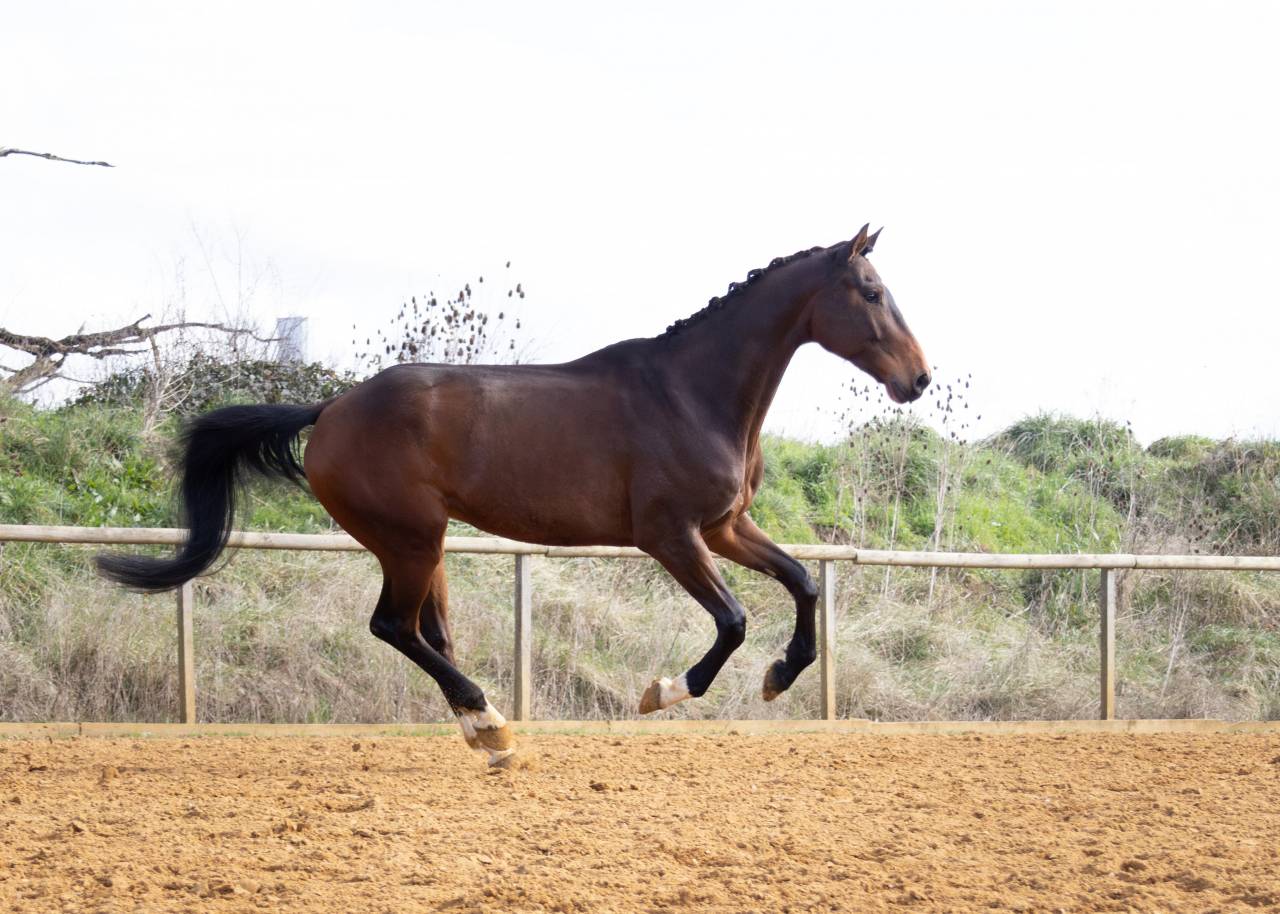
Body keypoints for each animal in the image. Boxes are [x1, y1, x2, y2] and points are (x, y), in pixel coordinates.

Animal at [97, 224, 930, 767]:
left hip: (422, 544)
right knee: (394, 627)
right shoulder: (670, 536)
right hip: (411, 538)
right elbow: (731, 620)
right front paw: (663, 691)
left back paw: (487, 730)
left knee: (428, 634)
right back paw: (491, 724)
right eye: (870, 291)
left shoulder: (725, 527)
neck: (692, 393)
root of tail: (329, 409)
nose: (918, 379)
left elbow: (800, 584)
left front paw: (780, 676)